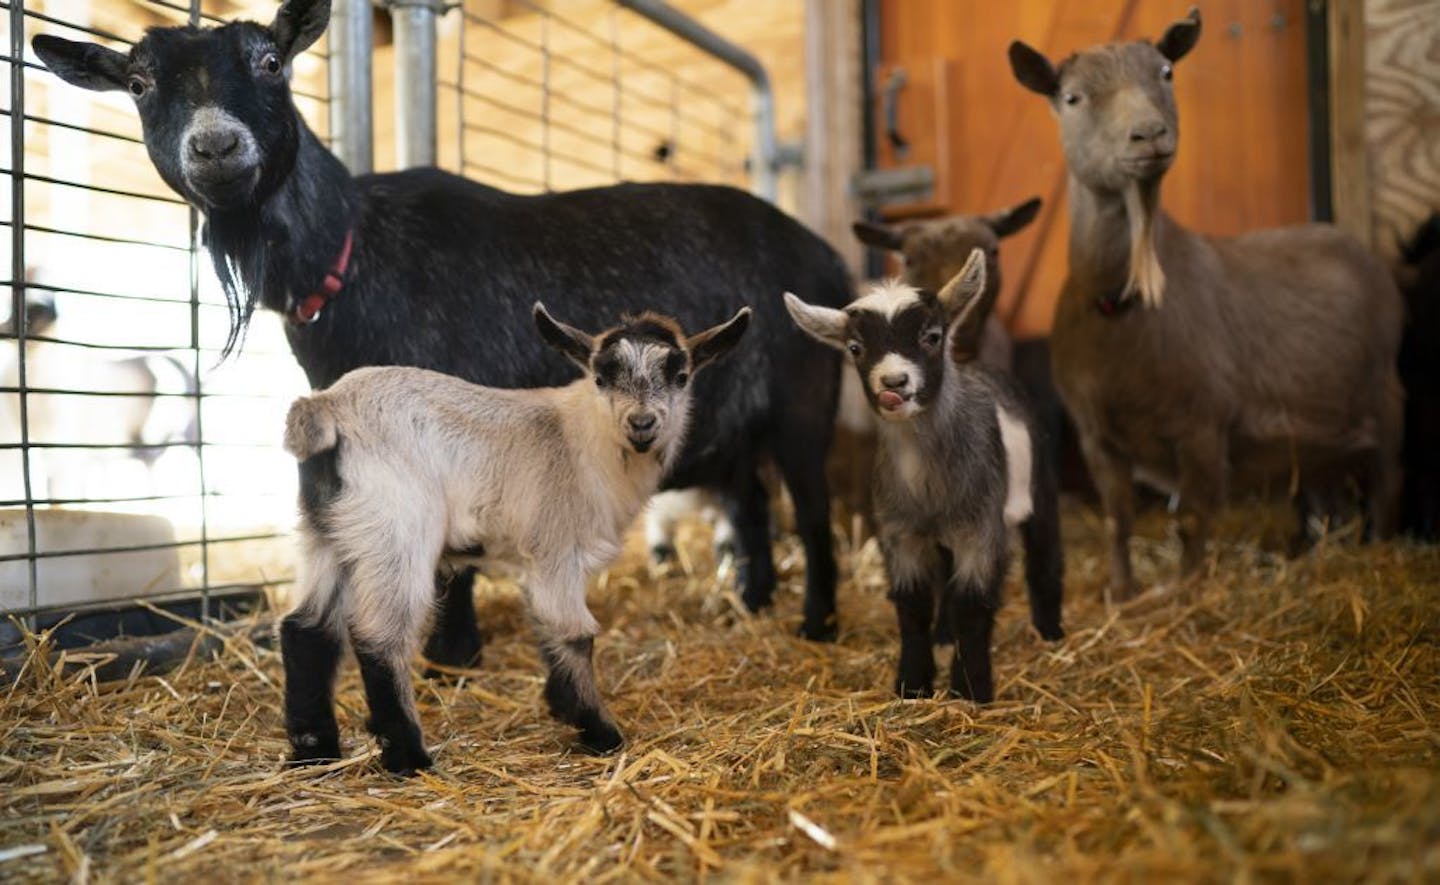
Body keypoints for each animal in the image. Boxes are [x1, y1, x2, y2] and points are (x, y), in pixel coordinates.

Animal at [33, 0, 846, 693]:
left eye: (270, 61)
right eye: (139, 83)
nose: (216, 146)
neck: (355, 253)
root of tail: (825, 256)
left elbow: (455, 555)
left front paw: (452, 657)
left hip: (806, 399)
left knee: (810, 510)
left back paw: (819, 623)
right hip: (734, 423)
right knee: (750, 500)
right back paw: (752, 601)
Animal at [283, 300, 754, 771]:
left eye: (681, 375)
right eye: (601, 377)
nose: (641, 423)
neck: (582, 444)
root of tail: (328, 405)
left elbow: (547, 631)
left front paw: (562, 706)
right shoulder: (557, 551)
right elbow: (574, 634)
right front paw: (600, 733)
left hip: (329, 534)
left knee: (305, 628)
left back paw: (314, 750)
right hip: (397, 532)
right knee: (379, 638)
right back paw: (408, 757)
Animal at [783, 250, 1065, 705]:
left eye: (931, 336)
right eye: (856, 348)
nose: (894, 382)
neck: (929, 481)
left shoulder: (981, 532)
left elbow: (974, 606)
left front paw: (971, 689)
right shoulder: (901, 533)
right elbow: (913, 606)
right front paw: (912, 684)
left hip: (1039, 485)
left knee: (1045, 554)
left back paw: (1051, 633)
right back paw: (944, 636)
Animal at [1008, 6, 1399, 598]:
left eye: (1166, 71)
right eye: (1072, 97)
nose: (1149, 133)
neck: (1123, 303)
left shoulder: (1202, 425)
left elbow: (1192, 519)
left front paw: (1187, 592)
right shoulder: (1098, 435)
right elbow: (1118, 518)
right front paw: (1121, 593)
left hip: (1386, 399)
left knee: (1384, 484)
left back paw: (1377, 550)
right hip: (1318, 437)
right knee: (1330, 492)